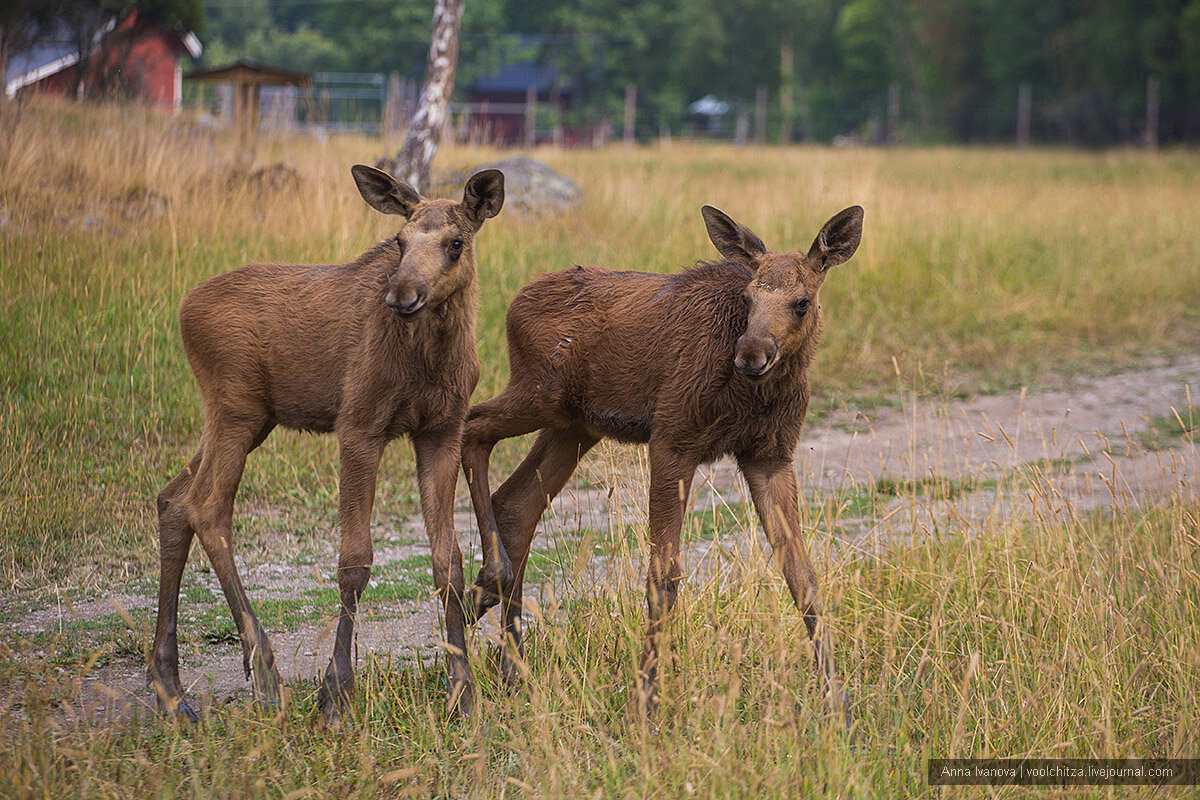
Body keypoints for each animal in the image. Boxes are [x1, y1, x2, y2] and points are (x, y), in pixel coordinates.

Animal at [150, 165, 501, 724]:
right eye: (399, 241)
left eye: (456, 242)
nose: (402, 295)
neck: (430, 356)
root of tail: (184, 308)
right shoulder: (359, 426)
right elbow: (354, 563)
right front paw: (336, 692)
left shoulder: (441, 432)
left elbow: (448, 561)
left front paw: (462, 691)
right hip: (234, 411)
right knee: (206, 506)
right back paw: (265, 673)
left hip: (249, 419)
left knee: (173, 499)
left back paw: (169, 683)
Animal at [458, 203, 864, 714]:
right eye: (749, 298)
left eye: (802, 302)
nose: (751, 355)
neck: (754, 395)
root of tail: (515, 302)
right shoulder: (673, 440)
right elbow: (663, 577)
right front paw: (645, 700)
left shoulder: (769, 455)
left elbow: (801, 574)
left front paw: (837, 699)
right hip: (539, 394)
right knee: (470, 427)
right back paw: (487, 593)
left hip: (573, 426)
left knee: (517, 502)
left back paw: (513, 666)